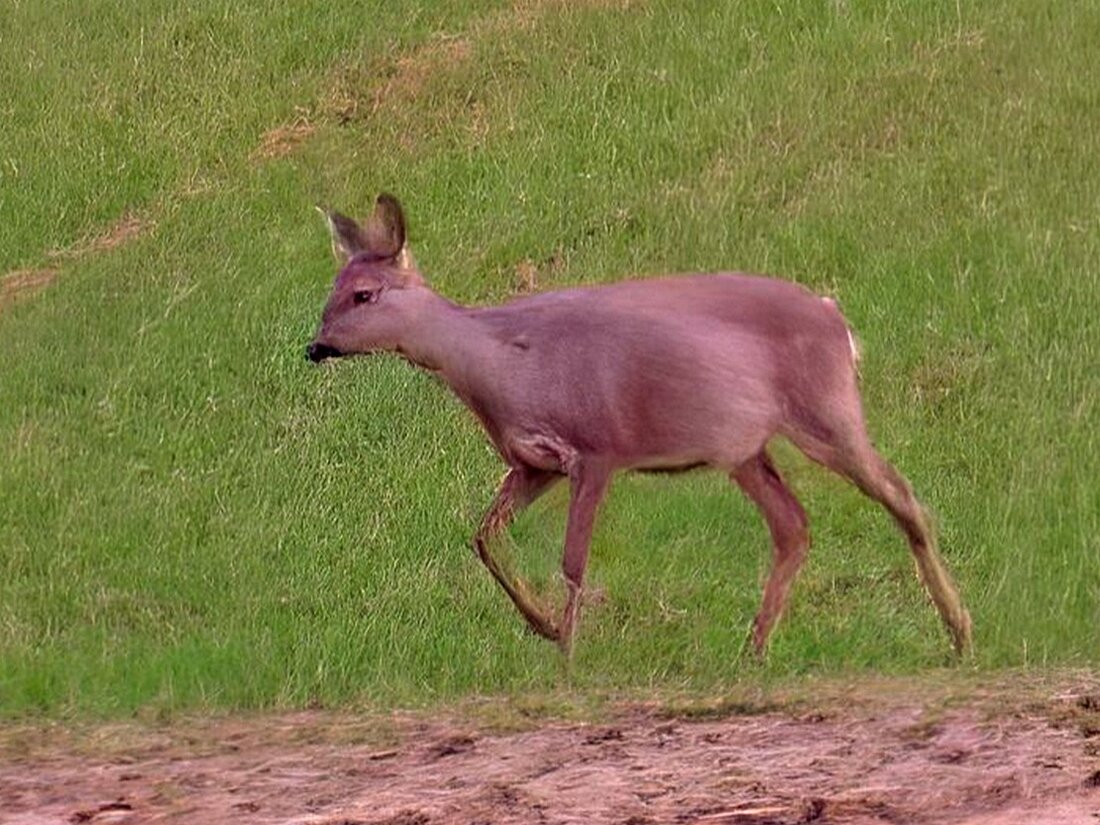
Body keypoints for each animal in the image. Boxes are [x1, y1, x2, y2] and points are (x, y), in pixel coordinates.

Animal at [306, 193, 973, 658]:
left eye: (363, 294)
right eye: (332, 287)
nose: (313, 347)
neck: (502, 362)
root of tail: (838, 319)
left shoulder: (597, 447)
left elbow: (573, 561)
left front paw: (568, 653)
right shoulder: (532, 464)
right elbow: (483, 537)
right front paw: (544, 626)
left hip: (826, 409)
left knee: (902, 496)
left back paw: (959, 631)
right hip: (744, 449)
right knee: (794, 527)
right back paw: (754, 649)